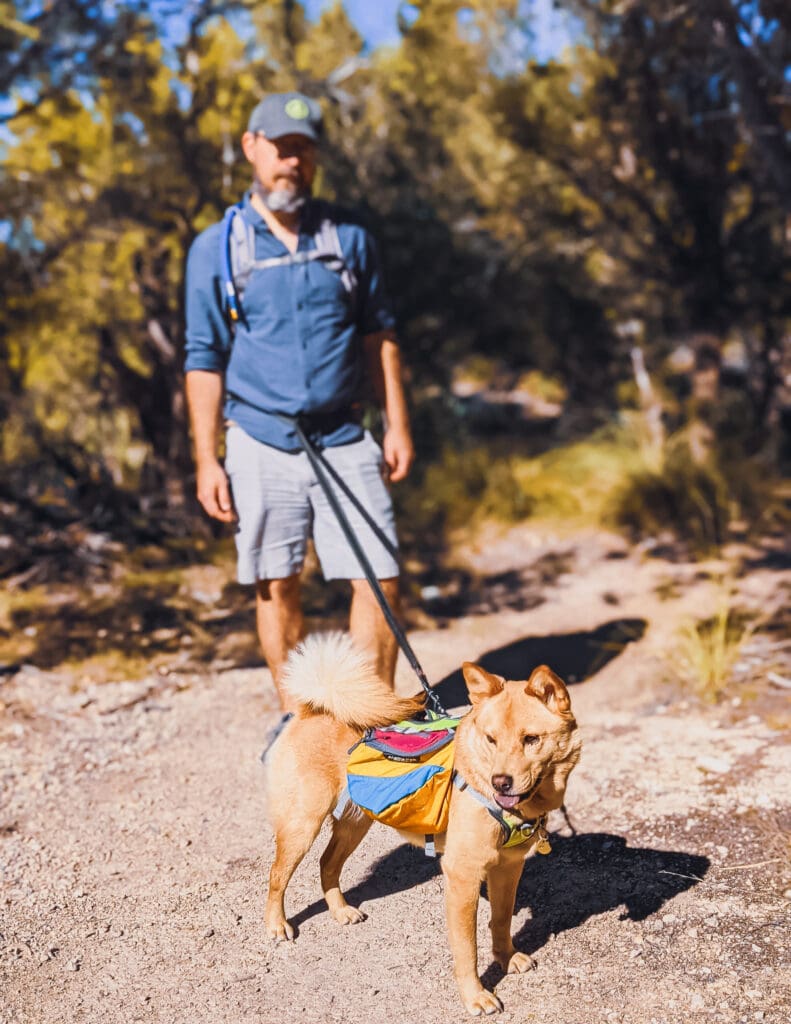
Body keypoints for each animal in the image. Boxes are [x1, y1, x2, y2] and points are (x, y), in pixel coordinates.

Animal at [262, 630, 577, 1015]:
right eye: (491, 739)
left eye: (531, 739)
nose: (501, 782)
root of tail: (314, 708)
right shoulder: (462, 876)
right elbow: (466, 949)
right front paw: (475, 996)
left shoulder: (507, 869)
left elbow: (501, 920)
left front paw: (506, 958)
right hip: (303, 824)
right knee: (277, 875)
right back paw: (277, 925)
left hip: (355, 823)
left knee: (327, 864)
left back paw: (340, 911)